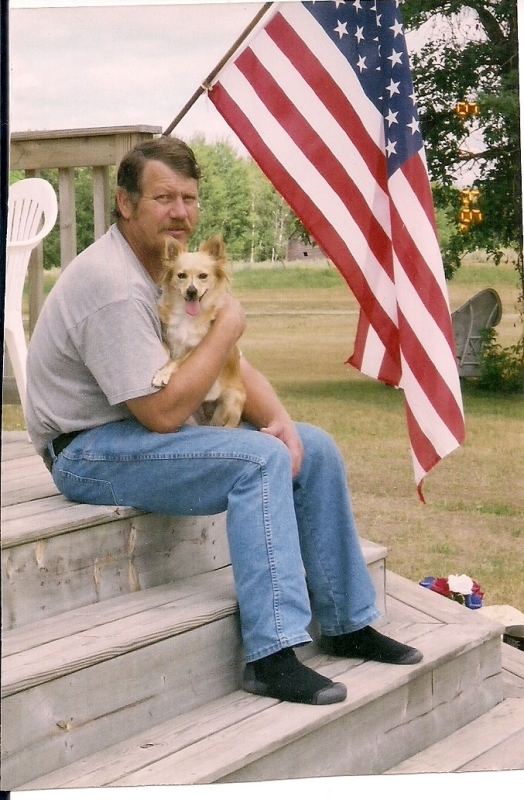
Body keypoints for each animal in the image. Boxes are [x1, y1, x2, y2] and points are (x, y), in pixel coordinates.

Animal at [152, 232, 246, 428]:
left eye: (203, 276)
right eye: (181, 275)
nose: (192, 291)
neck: (186, 317)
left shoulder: (195, 348)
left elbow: (176, 361)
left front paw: (163, 373)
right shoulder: (167, 336)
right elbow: (167, 349)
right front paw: (162, 368)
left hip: (231, 400)